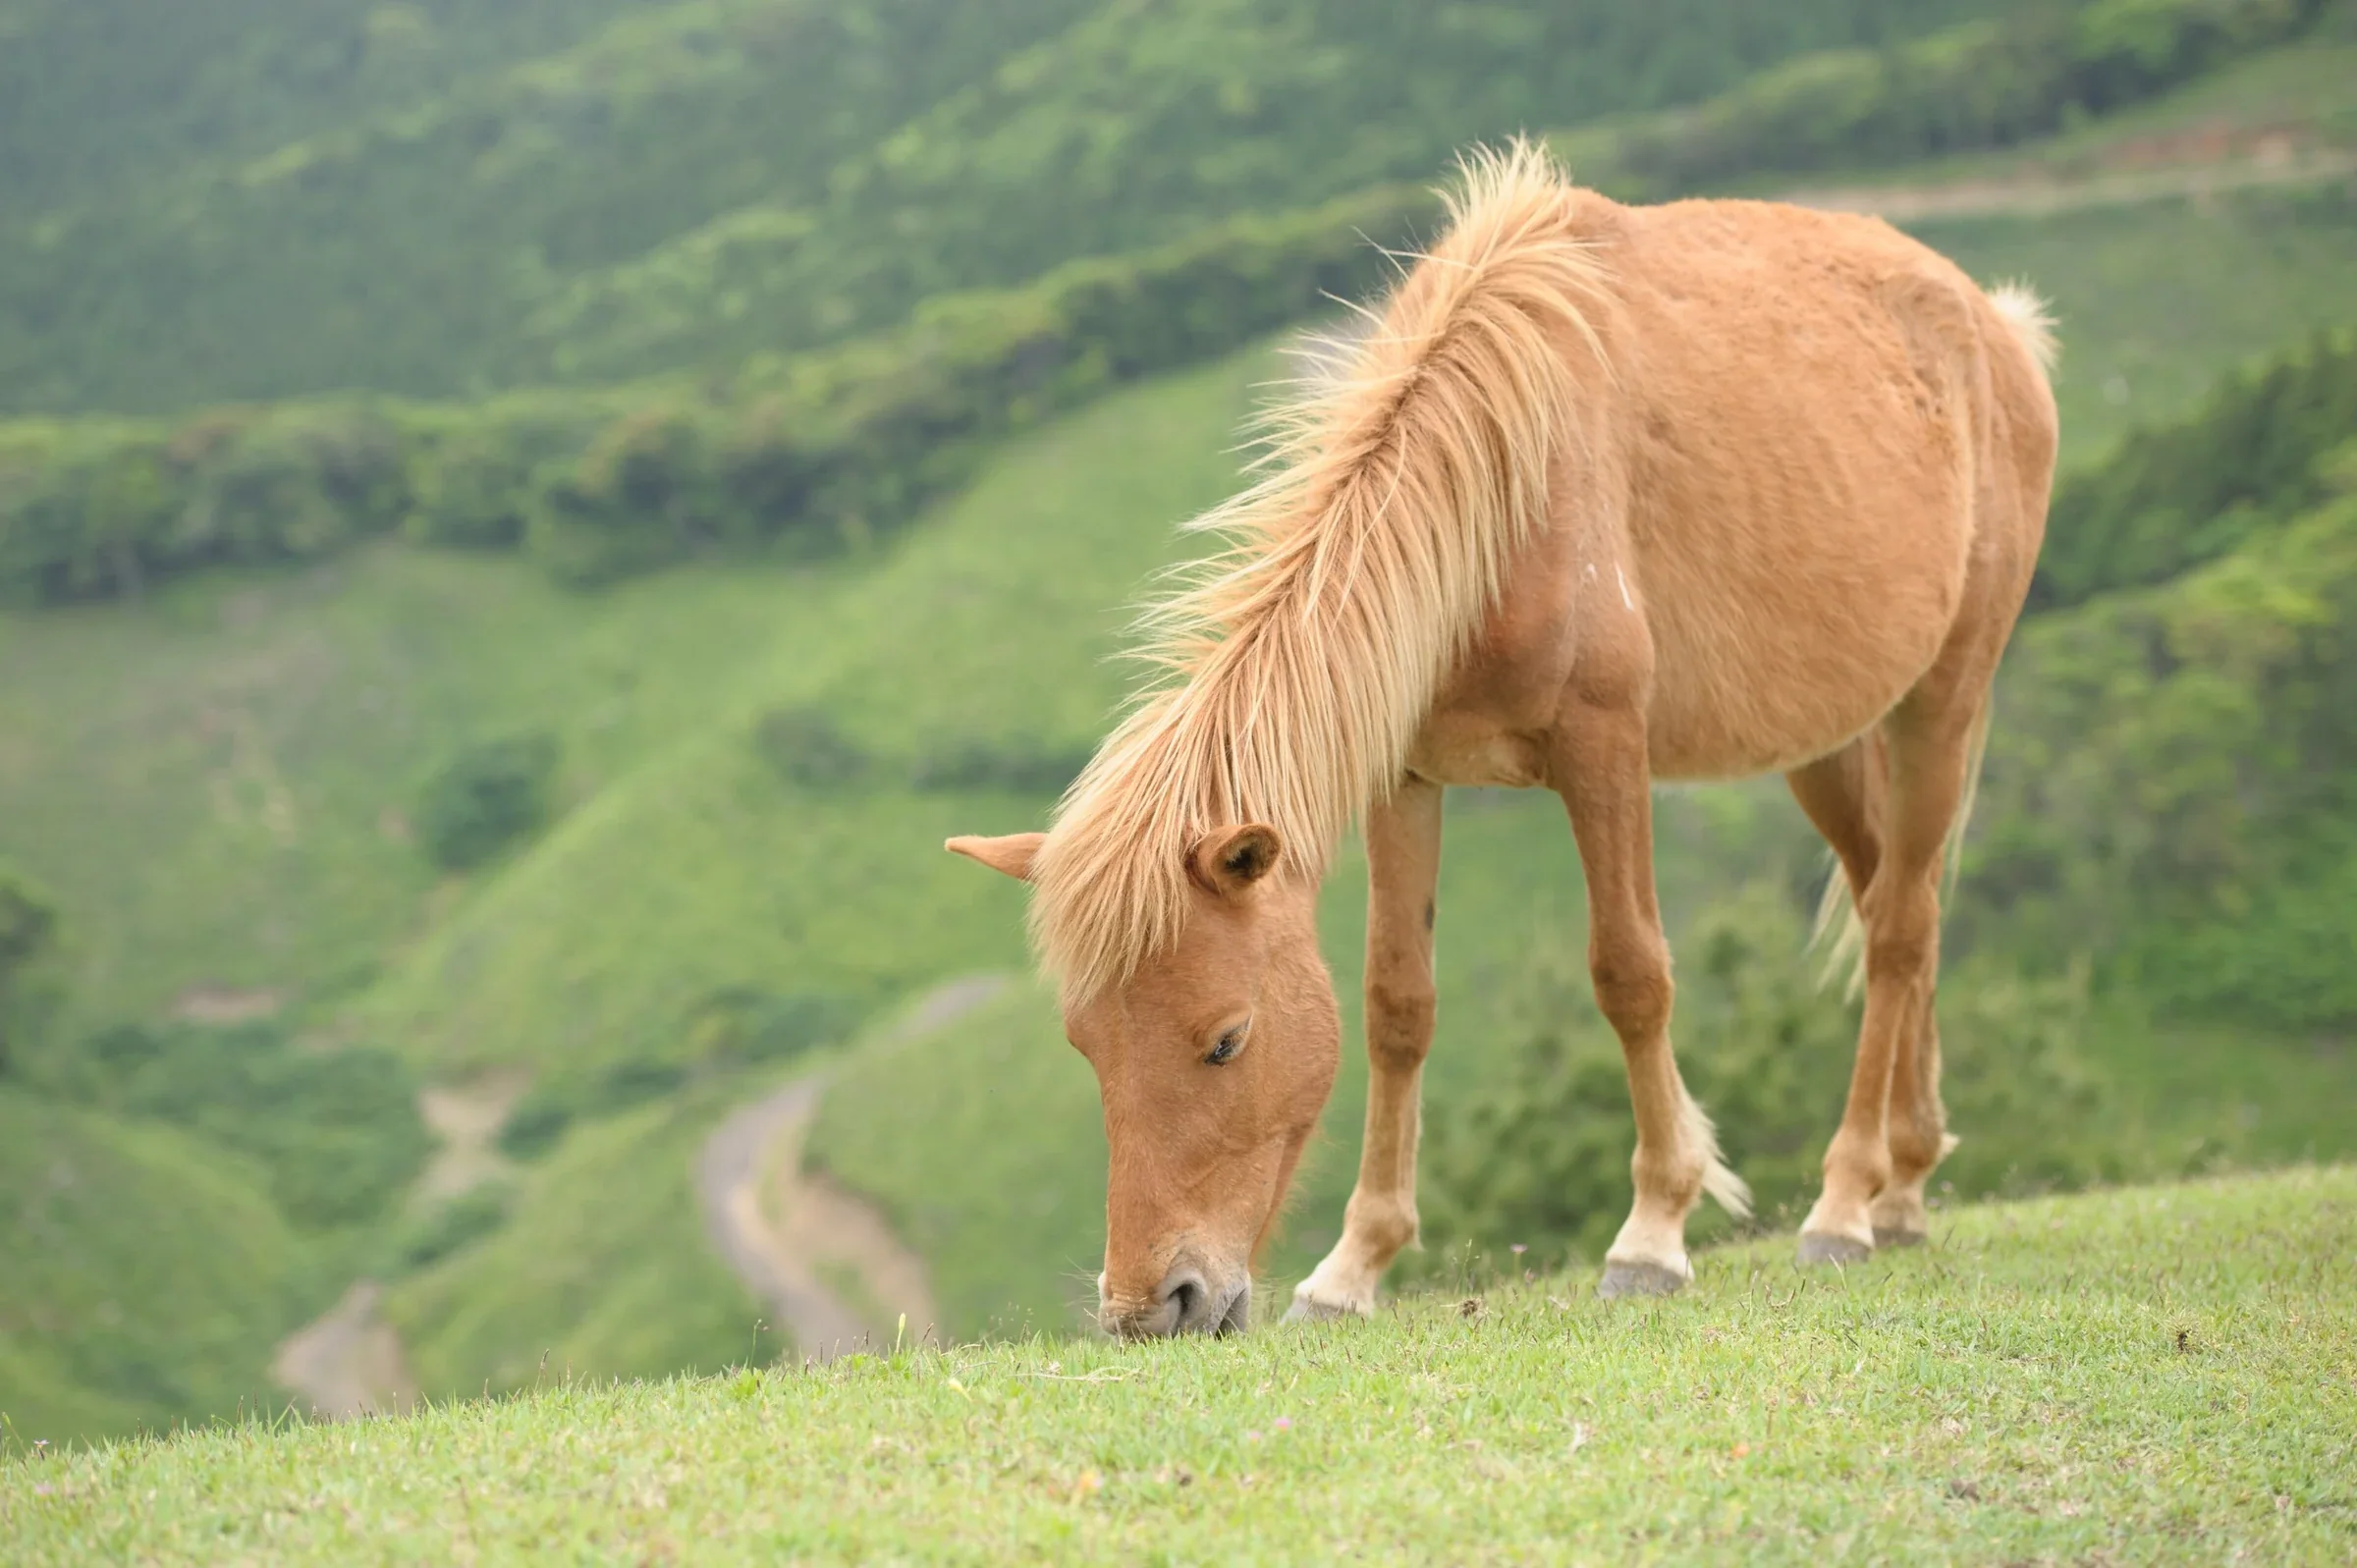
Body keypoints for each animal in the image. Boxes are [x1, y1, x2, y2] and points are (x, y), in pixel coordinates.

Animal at [946, 139, 2057, 1337]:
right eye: (1085, 1042)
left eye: (1226, 1038)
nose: (1155, 1305)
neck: (1501, 492)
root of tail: (1997, 329)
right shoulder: (1404, 777)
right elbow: (1396, 1003)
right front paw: (1355, 1266)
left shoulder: (1605, 752)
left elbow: (1630, 973)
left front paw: (1654, 1230)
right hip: (1826, 743)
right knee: (1897, 898)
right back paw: (1905, 1183)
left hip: (1943, 698)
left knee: (1897, 929)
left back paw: (1848, 1201)